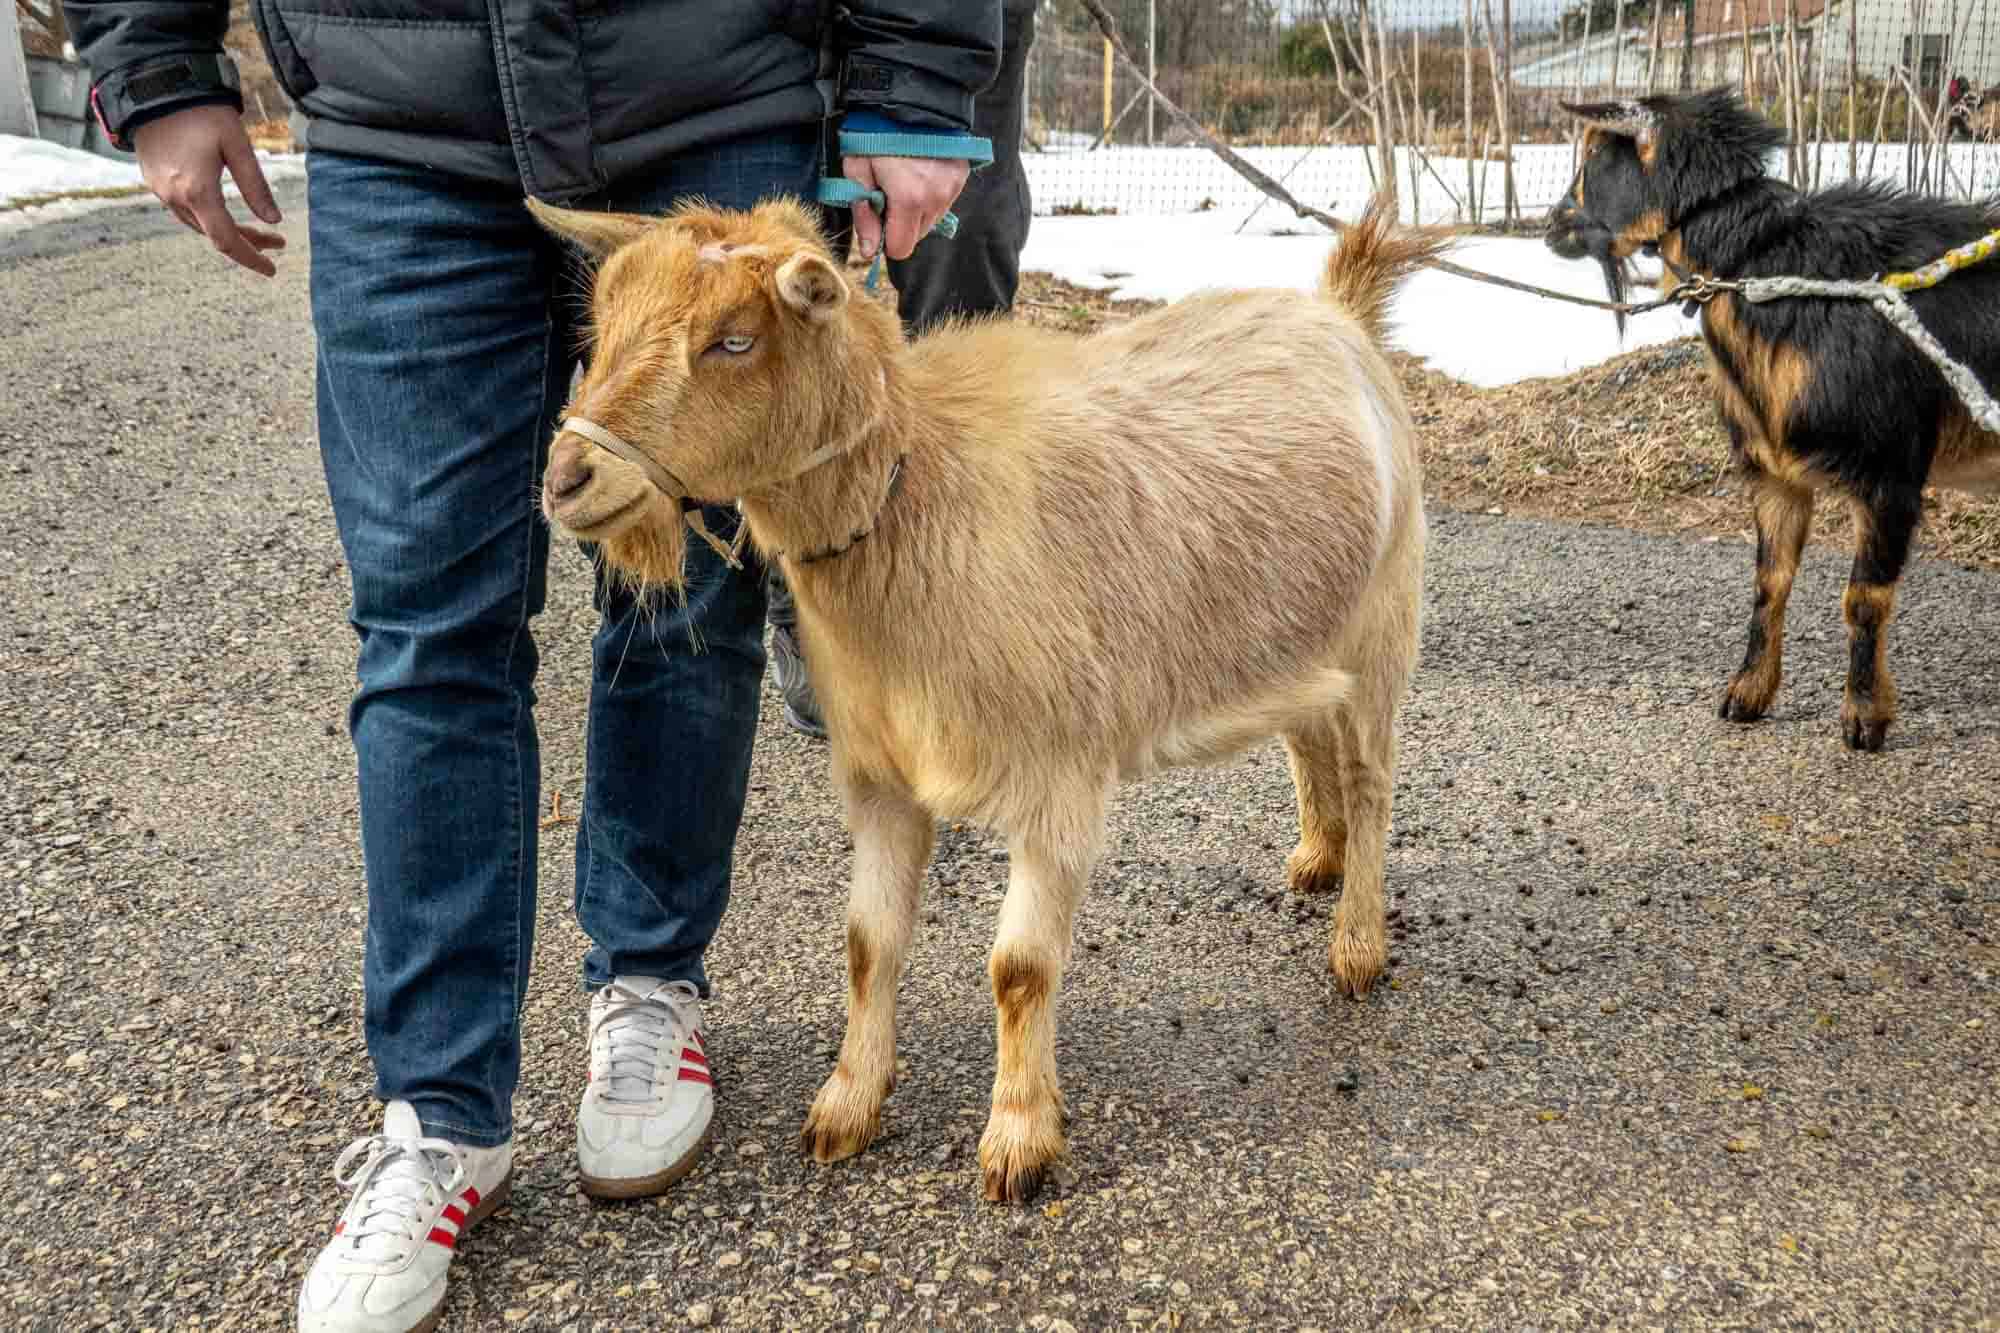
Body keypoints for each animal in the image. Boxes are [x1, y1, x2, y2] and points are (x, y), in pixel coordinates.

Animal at [528, 189, 1440, 1200]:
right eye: (601, 324)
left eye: (734, 339)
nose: (568, 479)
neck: (917, 492)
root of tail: (1336, 312)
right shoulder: (881, 777)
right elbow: (867, 943)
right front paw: (847, 1104)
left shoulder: (1059, 777)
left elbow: (1020, 968)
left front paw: (1018, 1137)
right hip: (1296, 628)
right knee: (1307, 734)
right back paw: (1320, 854)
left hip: (1385, 617)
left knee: (1372, 777)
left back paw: (1357, 941)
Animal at [1544, 89, 2000, 752]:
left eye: (1598, 157)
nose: (1551, 223)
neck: (1771, 276)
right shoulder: (1774, 474)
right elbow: (1769, 583)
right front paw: (1748, 694)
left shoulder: (1892, 468)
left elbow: (1863, 597)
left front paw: (1864, 717)